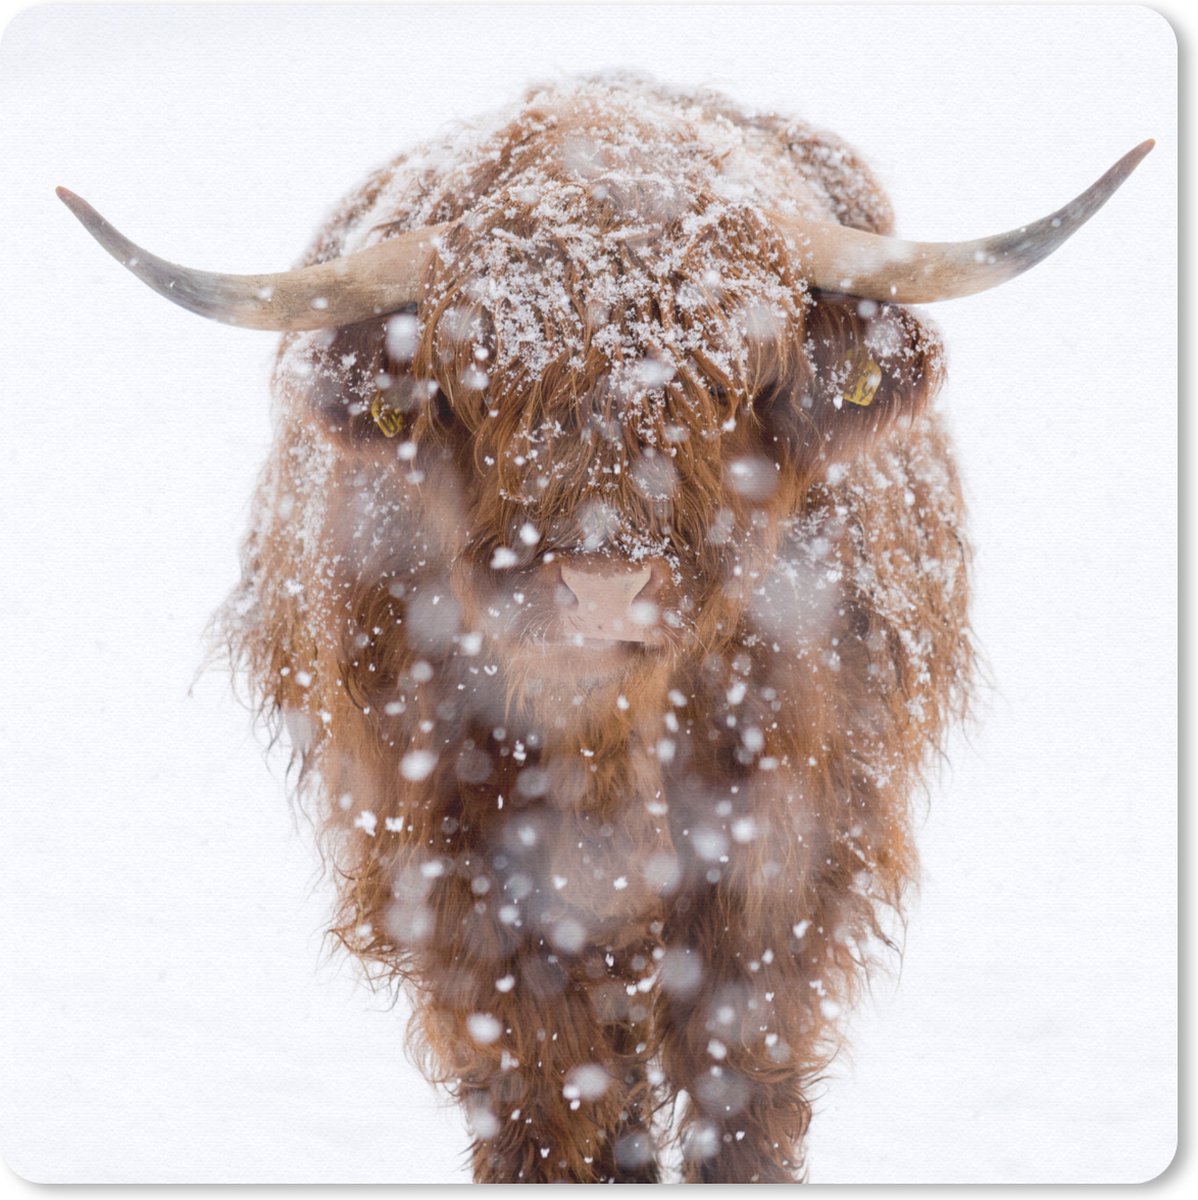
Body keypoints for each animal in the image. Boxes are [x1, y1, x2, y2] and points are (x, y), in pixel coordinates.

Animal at [58, 75, 1150, 1184]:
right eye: (483, 383)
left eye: (729, 380)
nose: (603, 587)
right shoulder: (455, 865)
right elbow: (546, 1085)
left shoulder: (786, 845)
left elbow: (739, 1064)